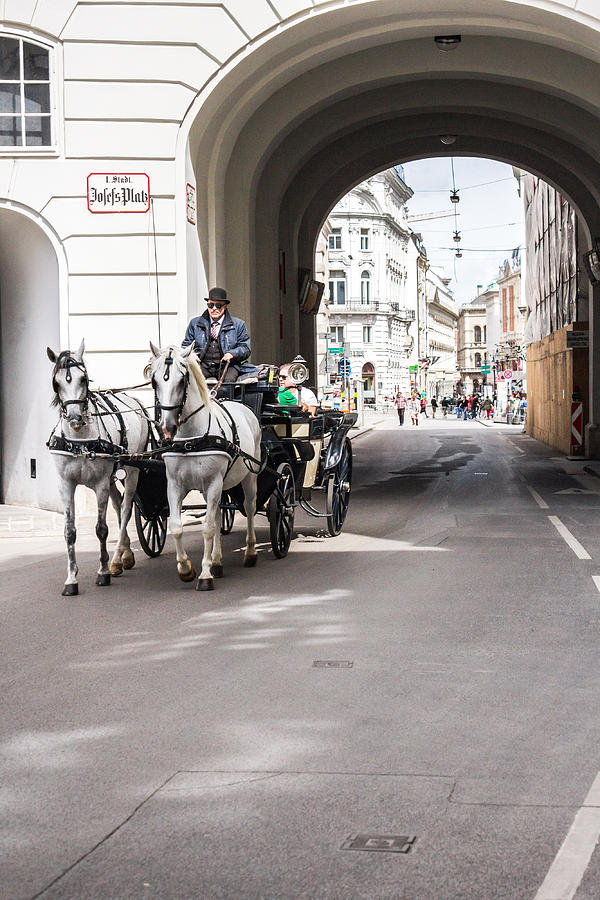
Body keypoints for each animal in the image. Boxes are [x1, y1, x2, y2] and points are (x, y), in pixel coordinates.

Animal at [47, 342, 150, 596]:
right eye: (56, 383)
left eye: (83, 379)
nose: (75, 419)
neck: (80, 441)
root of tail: (134, 400)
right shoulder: (66, 485)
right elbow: (69, 532)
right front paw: (71, 579)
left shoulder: (100, 483)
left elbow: (101, 529)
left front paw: (102, 572)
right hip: (114, 475)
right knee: (118, 505)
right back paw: (124, 556)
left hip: (132, 471)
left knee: (125, 509)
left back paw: (115, 560)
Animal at [147, 342, 260, 588]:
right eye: (154, 381)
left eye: (182, 381)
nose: (167, 428)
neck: (191, 439)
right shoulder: (175, 485)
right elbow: (177, 526)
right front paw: (186, 568)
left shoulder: (213, 483)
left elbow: (207, 528)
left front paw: (205, 574)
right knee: (217, 515)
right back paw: (216, 561)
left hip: (249, 477)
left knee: (249, 508)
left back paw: (250, 553)